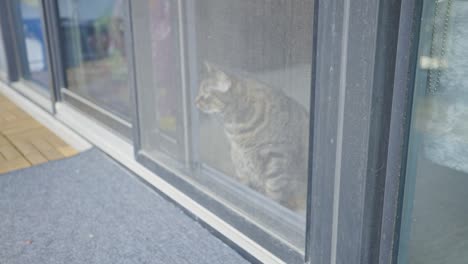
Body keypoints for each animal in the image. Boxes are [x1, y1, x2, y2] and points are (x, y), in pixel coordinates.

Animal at [195, 61, 308, 210]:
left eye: (205, 95)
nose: (195, 102)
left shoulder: (276, 156)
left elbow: (273, 190)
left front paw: (270, 204)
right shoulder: (239, 159)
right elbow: (243, 183)